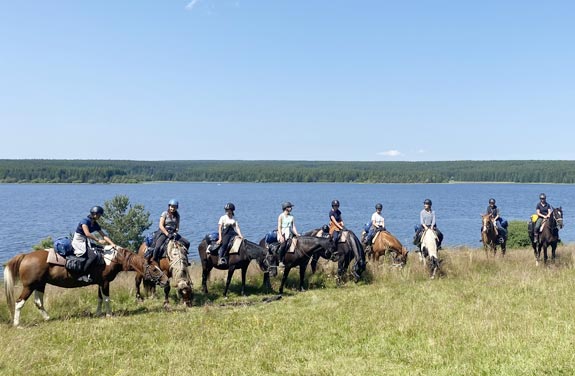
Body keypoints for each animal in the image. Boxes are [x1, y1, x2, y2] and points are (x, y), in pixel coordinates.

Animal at [3, 247, 169, 326]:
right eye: (155, 269)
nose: (166, 280)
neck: (111, 259)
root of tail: (25, 256)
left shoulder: (100, 283)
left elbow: (100, 298)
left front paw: (98, 313)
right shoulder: (105, 283)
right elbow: (107, 299)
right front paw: (109, 314)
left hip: (40, 285)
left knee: (38, 303)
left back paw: (47, 317)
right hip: (29, 286)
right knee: (19, 302)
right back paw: (17, 324)